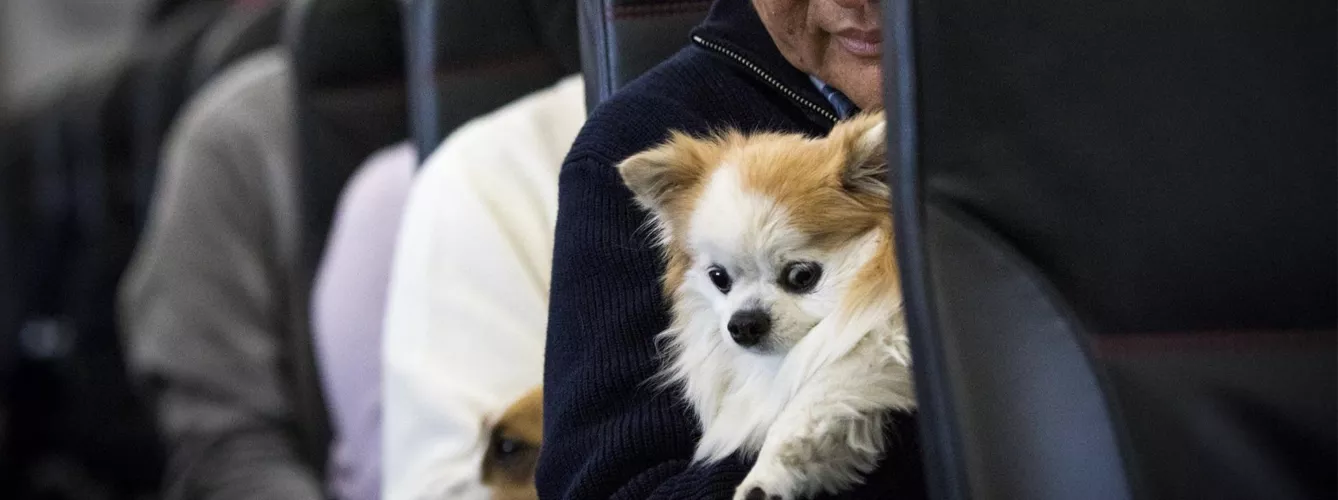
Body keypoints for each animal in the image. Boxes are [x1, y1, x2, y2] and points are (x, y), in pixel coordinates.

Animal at [618, 112, 920, 500]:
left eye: (802, 276)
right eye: (719, 278)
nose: (744, 323)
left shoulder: (878, 339)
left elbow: (821, 387)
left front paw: (764, 472)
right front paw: (773, 481)